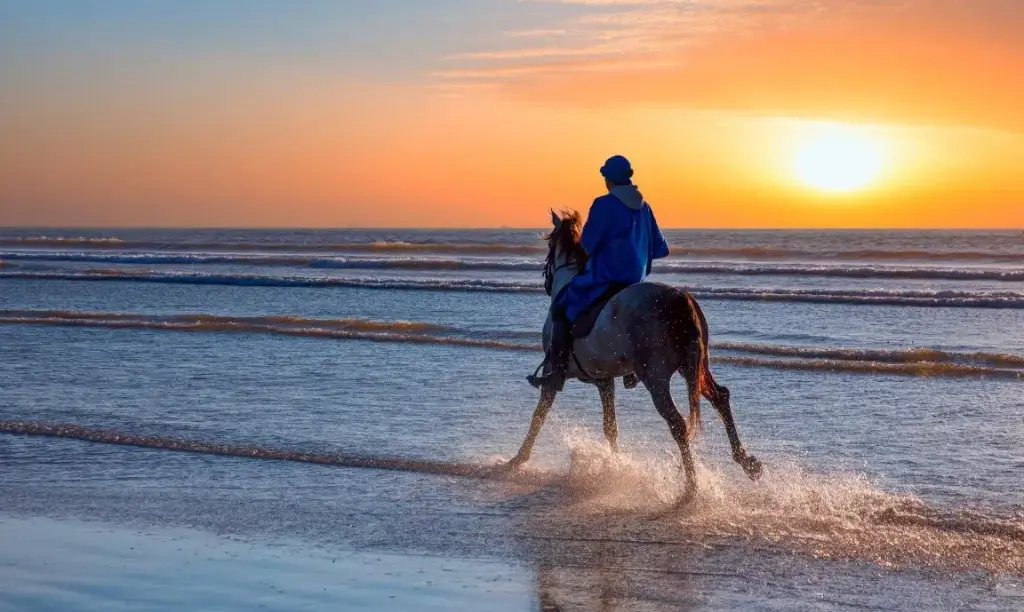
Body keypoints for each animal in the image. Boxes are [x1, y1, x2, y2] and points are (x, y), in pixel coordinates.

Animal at [507, 209, 763, 501]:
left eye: (549, 249)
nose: (548, 284)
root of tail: (680, 299)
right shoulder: (604, 381)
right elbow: (610, 427)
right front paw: (615, 466)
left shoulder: (553, 375)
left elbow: (538, 416)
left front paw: (518, 459)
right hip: (695, 368)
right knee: (720, 398)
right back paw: (746, 462)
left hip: (656, 378)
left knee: (677, 424)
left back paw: (691, 486)